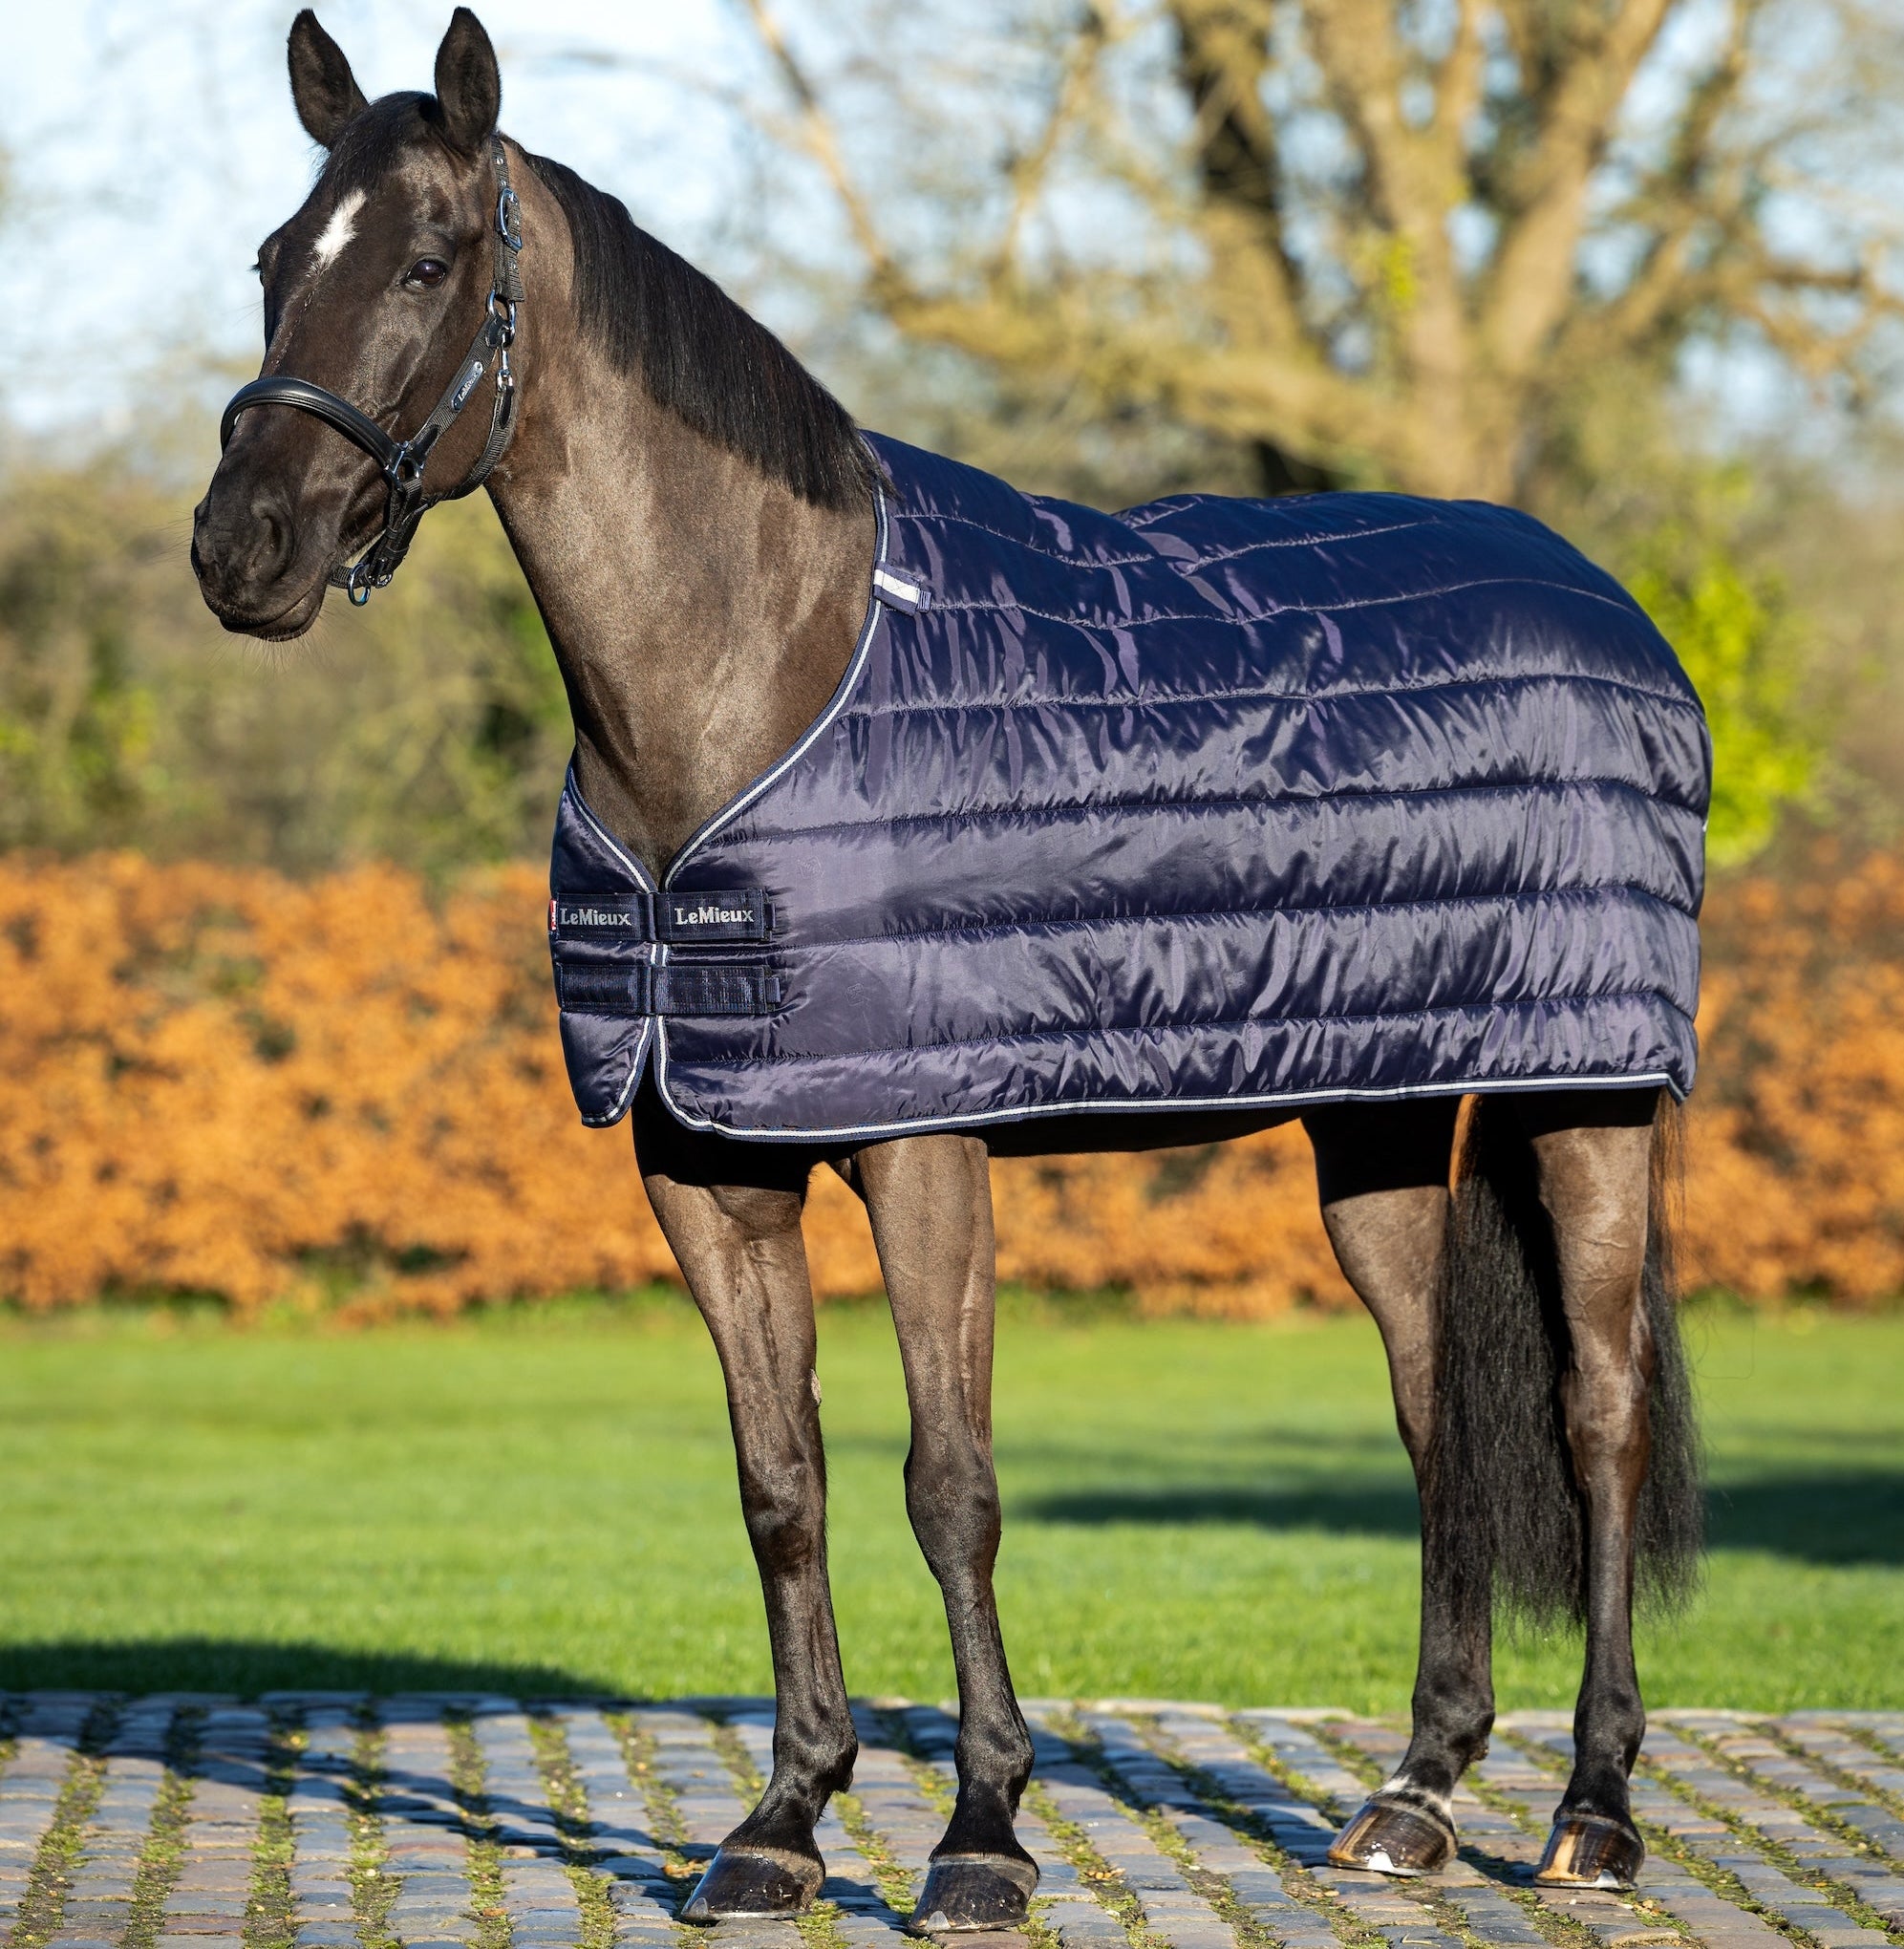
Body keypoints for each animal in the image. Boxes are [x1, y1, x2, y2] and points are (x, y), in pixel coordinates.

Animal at [192, 8, 1703, 1931]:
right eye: (270, 261)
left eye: (428, 260)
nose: (239, 547)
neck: (762, 671)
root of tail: (1605, 599)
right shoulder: (703, 1161)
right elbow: (782, 1483)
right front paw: (779, 1824)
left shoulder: (924, 1146)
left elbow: (950, 1483)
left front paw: (979, 1834)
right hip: (1368, 1120)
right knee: (1435, 1409)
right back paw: (1414, 1797)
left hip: (1588, 1095)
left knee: (1595, 1421)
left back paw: (1593, 1811)